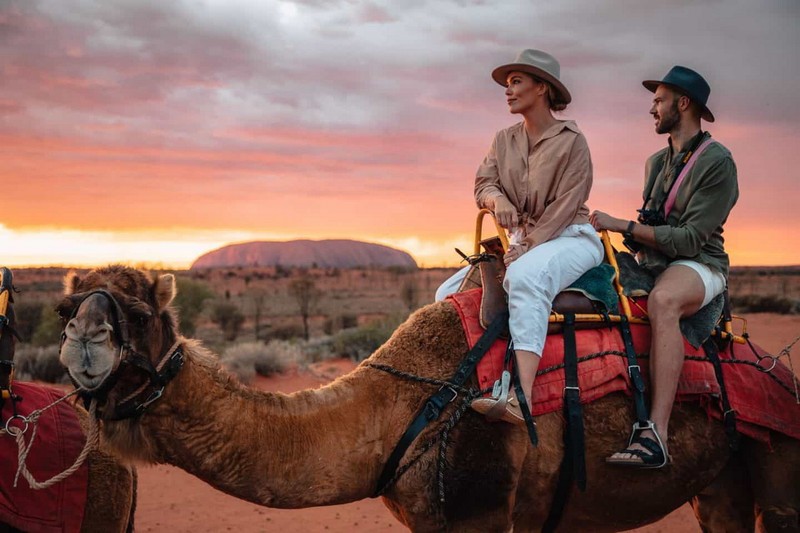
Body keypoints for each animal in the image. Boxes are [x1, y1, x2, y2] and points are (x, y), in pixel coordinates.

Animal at [57, 266, 800, 532]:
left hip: (782, 457)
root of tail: (778, 368)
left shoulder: (479, 508)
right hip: (722, 477)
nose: (82, 344)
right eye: (67, 306)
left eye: (135, 312)